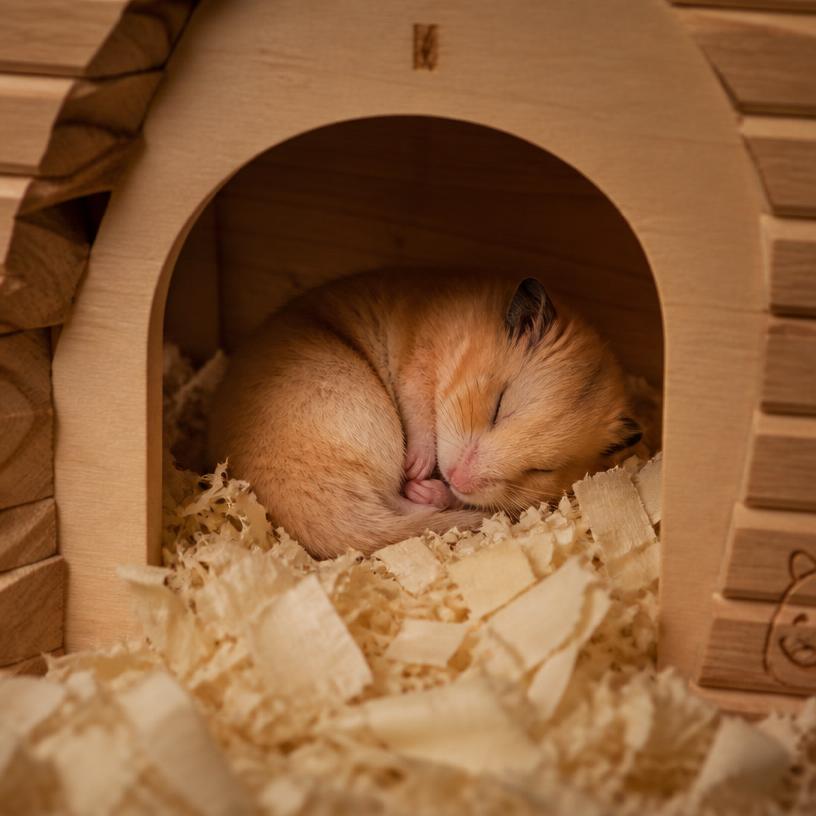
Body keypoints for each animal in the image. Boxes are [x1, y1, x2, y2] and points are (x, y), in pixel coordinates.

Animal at [208, 270, 643, 558]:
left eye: (542, 470)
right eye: (498, 406)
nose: (458, 478)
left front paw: (432, 482)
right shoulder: (417, 363)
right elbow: (418, 410)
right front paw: (418, 466)